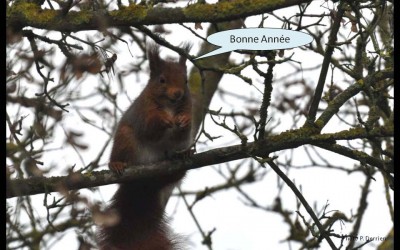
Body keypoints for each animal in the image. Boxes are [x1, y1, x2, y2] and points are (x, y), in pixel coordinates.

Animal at [96, 44, 191, 249]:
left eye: (186, 81)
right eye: (162, 80)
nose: (178, 93)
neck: (170, 106)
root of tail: (143, 184)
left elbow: (183, 131)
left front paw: (184, 120)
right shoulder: (143, 111)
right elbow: (149, 128)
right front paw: (163, 120)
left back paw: (183, 155)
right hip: (125, 141)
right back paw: (116, 164)